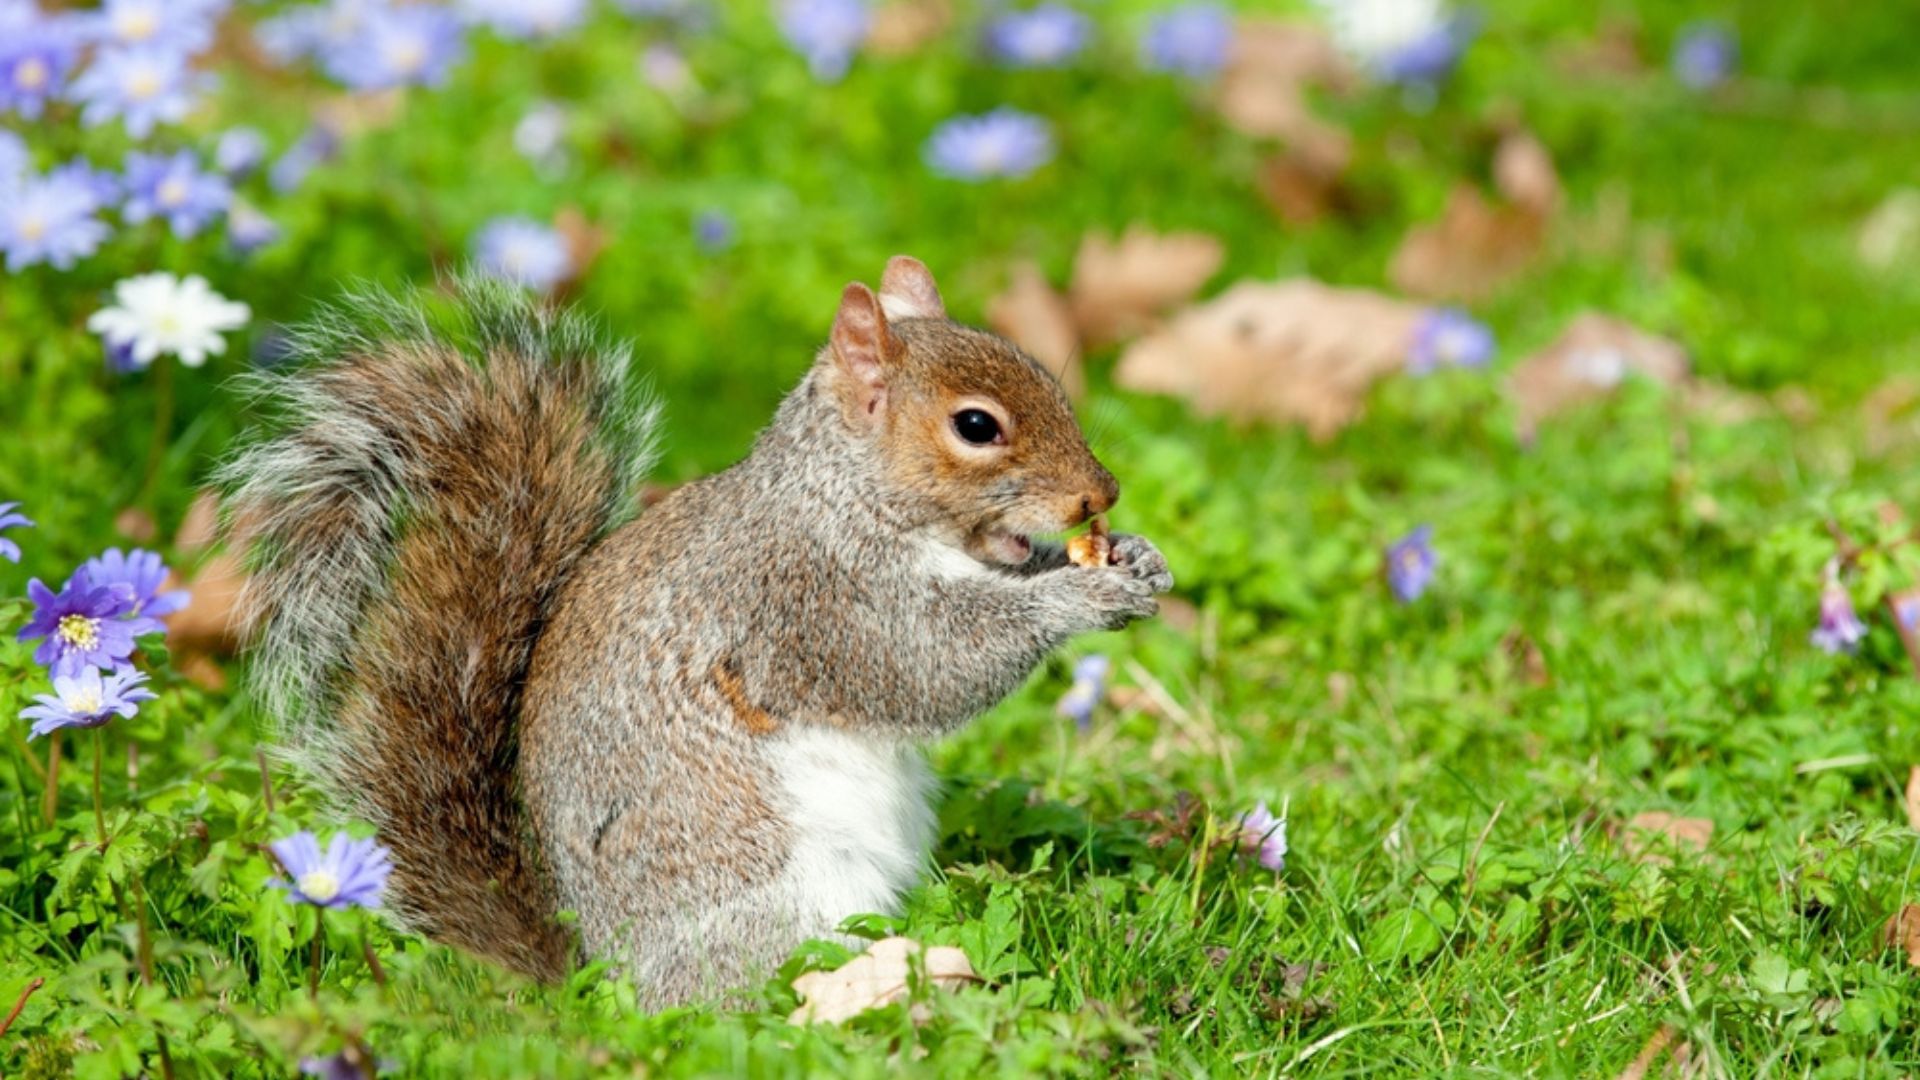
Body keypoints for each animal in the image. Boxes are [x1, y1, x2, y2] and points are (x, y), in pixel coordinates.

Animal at [228, 255, 1182, 1006]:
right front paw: (1081, 598)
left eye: (1046, 376)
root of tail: (598, 974)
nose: (1100, 495)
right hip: (771, 895)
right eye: (976, 426)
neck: (845, 495)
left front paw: (1134, 558)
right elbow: (931, 666)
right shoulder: (811, 601)